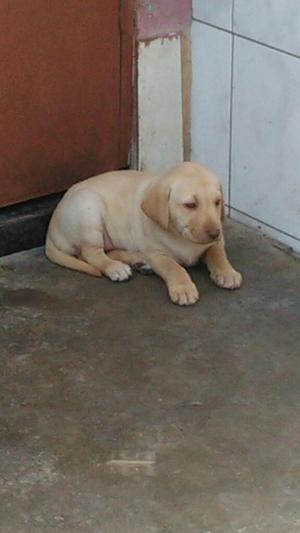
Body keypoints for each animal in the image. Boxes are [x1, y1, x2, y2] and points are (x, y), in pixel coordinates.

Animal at [46, 161, 241, 304]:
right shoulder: (157, 254)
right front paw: (183, 287)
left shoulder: (215, 243)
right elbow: (174, 267)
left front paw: (227, 273)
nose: (215, 232)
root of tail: (50, 227)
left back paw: (138, 261)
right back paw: (116, 268)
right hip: (89, 207)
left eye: (217, 202)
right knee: (90, 254)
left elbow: (218, 255)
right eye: (190, 205)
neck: (180, 235)